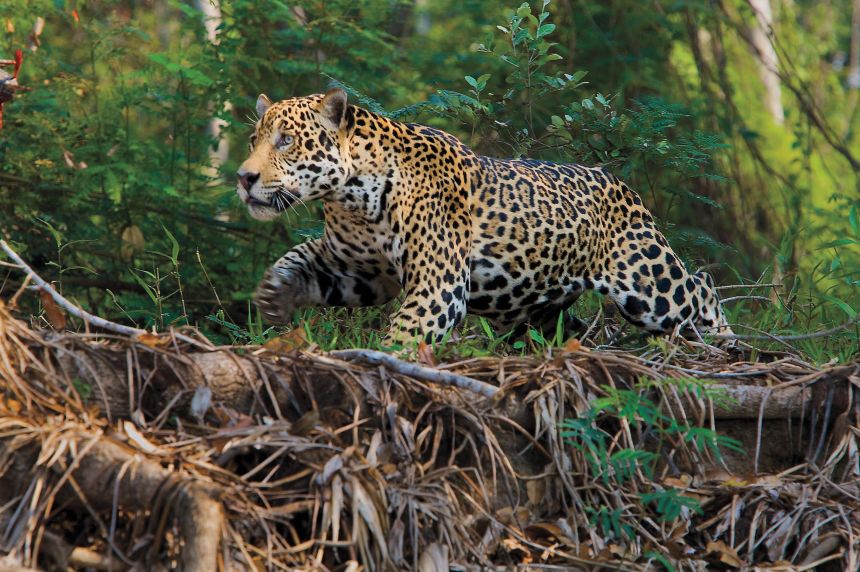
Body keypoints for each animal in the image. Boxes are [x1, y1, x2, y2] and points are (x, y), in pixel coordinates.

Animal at [236, 89, 733, 344]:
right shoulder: (358, 270)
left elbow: (404, 336)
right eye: (254, 140)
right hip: (530, 303)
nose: (243, 177)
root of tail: (621, 183)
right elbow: (298, 257)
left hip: (649, 287)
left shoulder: (438, 287)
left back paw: (723, 340)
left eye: (285, 140)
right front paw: (273, 296)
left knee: (700, 287)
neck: (352, 198)